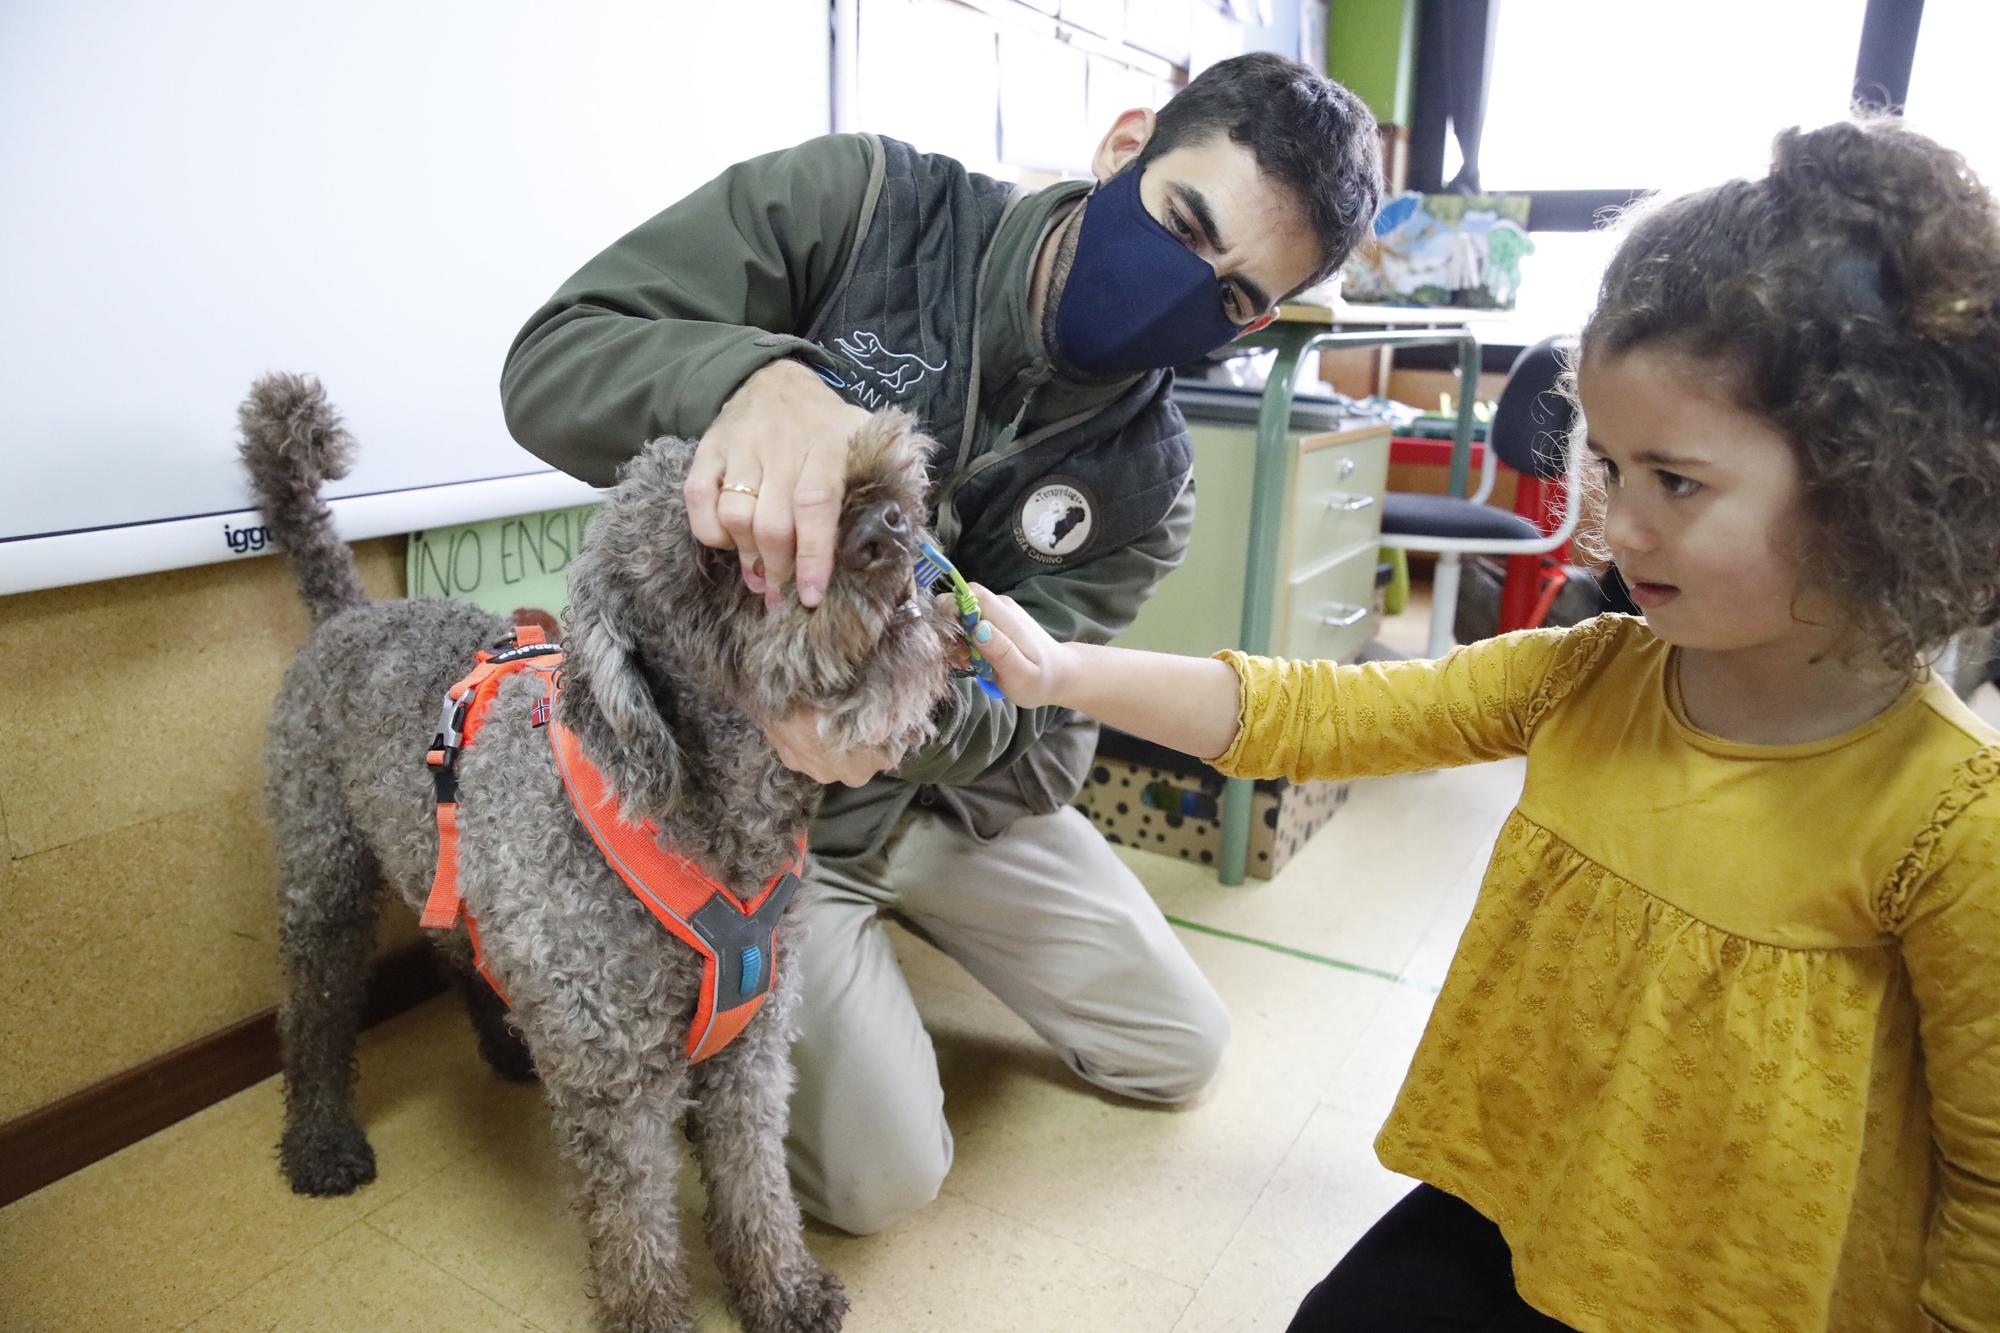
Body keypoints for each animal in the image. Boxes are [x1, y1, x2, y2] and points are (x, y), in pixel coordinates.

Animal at [238, 368, 956, 1320]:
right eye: (717, 560)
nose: (888, 520)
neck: (710, 829)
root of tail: (345, 615)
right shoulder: (616, 1084)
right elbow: (635, 1227)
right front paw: (653, 1313)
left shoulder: (752, 1049)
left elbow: (755, 1181)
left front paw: (780, 1287)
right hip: (324, 876)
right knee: (313, 1014)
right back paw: (320, 1138)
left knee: (457, 947)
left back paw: (506, 1042)